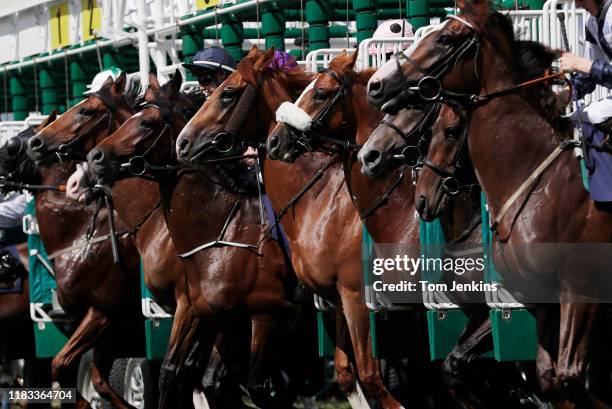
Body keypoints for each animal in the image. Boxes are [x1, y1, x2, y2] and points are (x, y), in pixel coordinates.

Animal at [86, 71, 310, 408]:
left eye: (147, 123)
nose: (96, 156)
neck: (221, 231)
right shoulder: (219, 315)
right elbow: (187, 373)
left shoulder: (263, 312)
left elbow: (252, 384)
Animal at [366, 1, 612, 406]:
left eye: (446, 38)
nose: (376, 84)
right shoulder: (540, 300)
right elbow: (542, 376)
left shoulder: (580, 288)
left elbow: (568, 377)